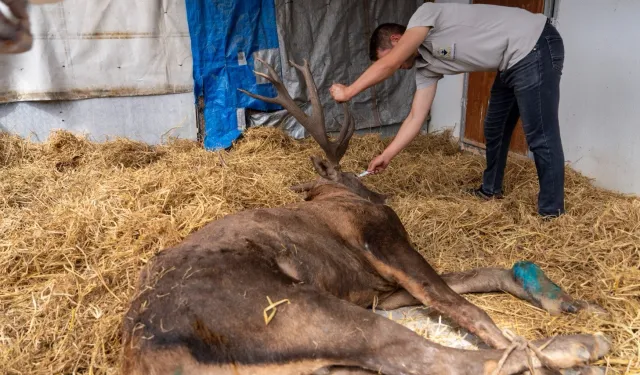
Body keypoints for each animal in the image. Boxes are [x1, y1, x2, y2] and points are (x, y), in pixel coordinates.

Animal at [121, 58, 608, 375]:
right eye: (354, 177)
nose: (378, 189)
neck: (333, 194)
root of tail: (148, 353)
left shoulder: (380, 289)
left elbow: (476, 277)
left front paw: (564, 299)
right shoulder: (384, 242)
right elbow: (462, 305)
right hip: (299, 310)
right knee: (429, 358)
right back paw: (577, 347)